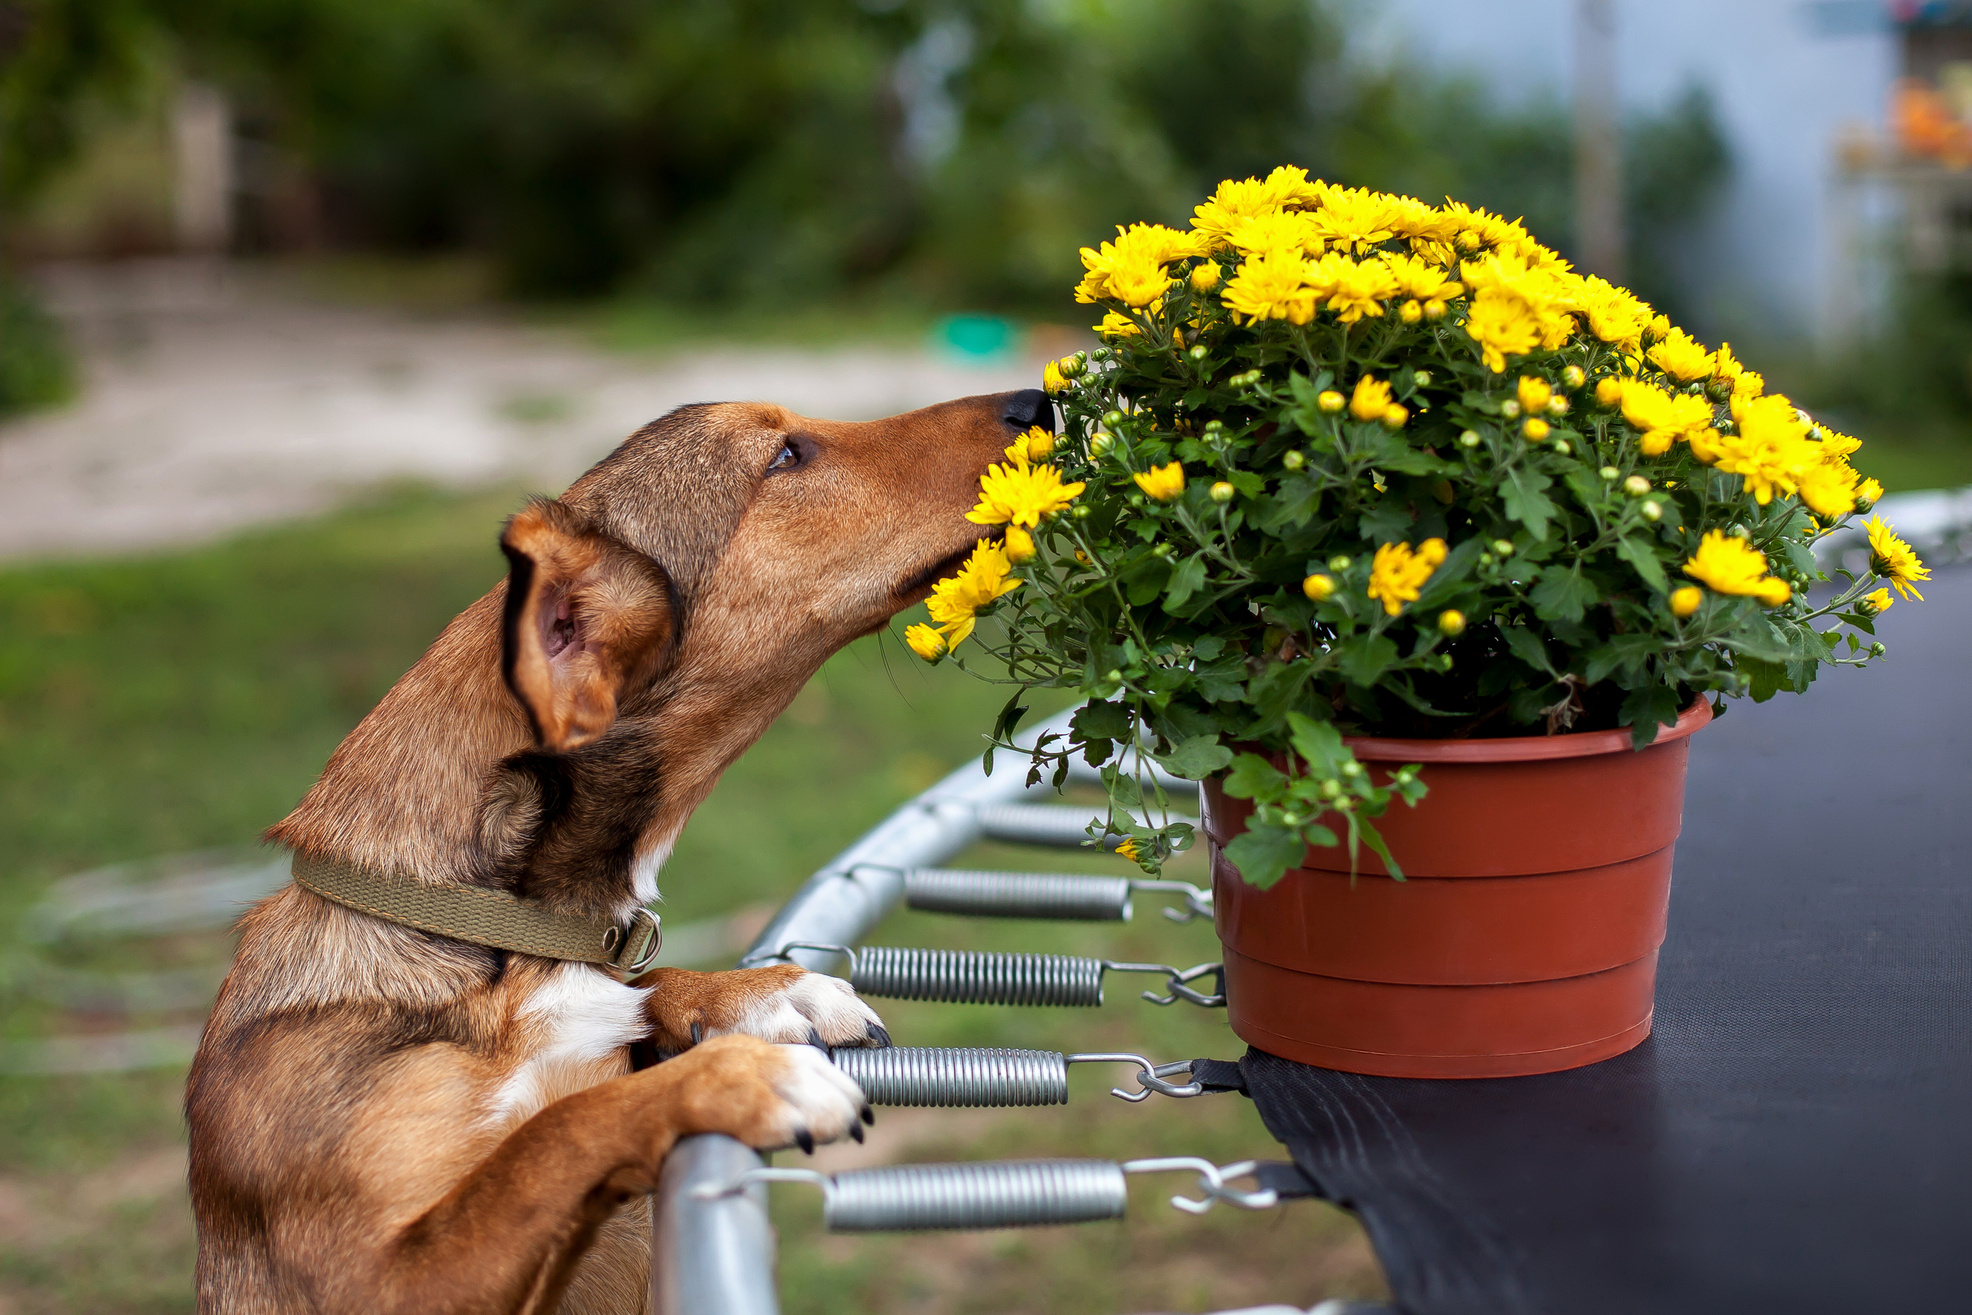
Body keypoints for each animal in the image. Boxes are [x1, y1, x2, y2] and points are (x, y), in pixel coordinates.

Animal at [185, 390, 1049, 1315]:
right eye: (785, 456)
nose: (1038, 400)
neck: (498, 941)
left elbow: (633, 995)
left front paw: (757, 993)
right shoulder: (377, 1279)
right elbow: (555, 1132)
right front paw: (738, 1076)